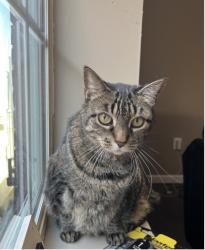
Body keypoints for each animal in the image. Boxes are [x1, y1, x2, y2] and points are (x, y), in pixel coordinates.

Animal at [44, 66, 166, 244]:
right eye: (104, 118)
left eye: (138, 122)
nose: (121, 141)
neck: (106, 168)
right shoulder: (59, 183)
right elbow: (65, 210)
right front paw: (68, 228)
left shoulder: (125, 194)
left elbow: (116, 214)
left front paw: (115, 231)